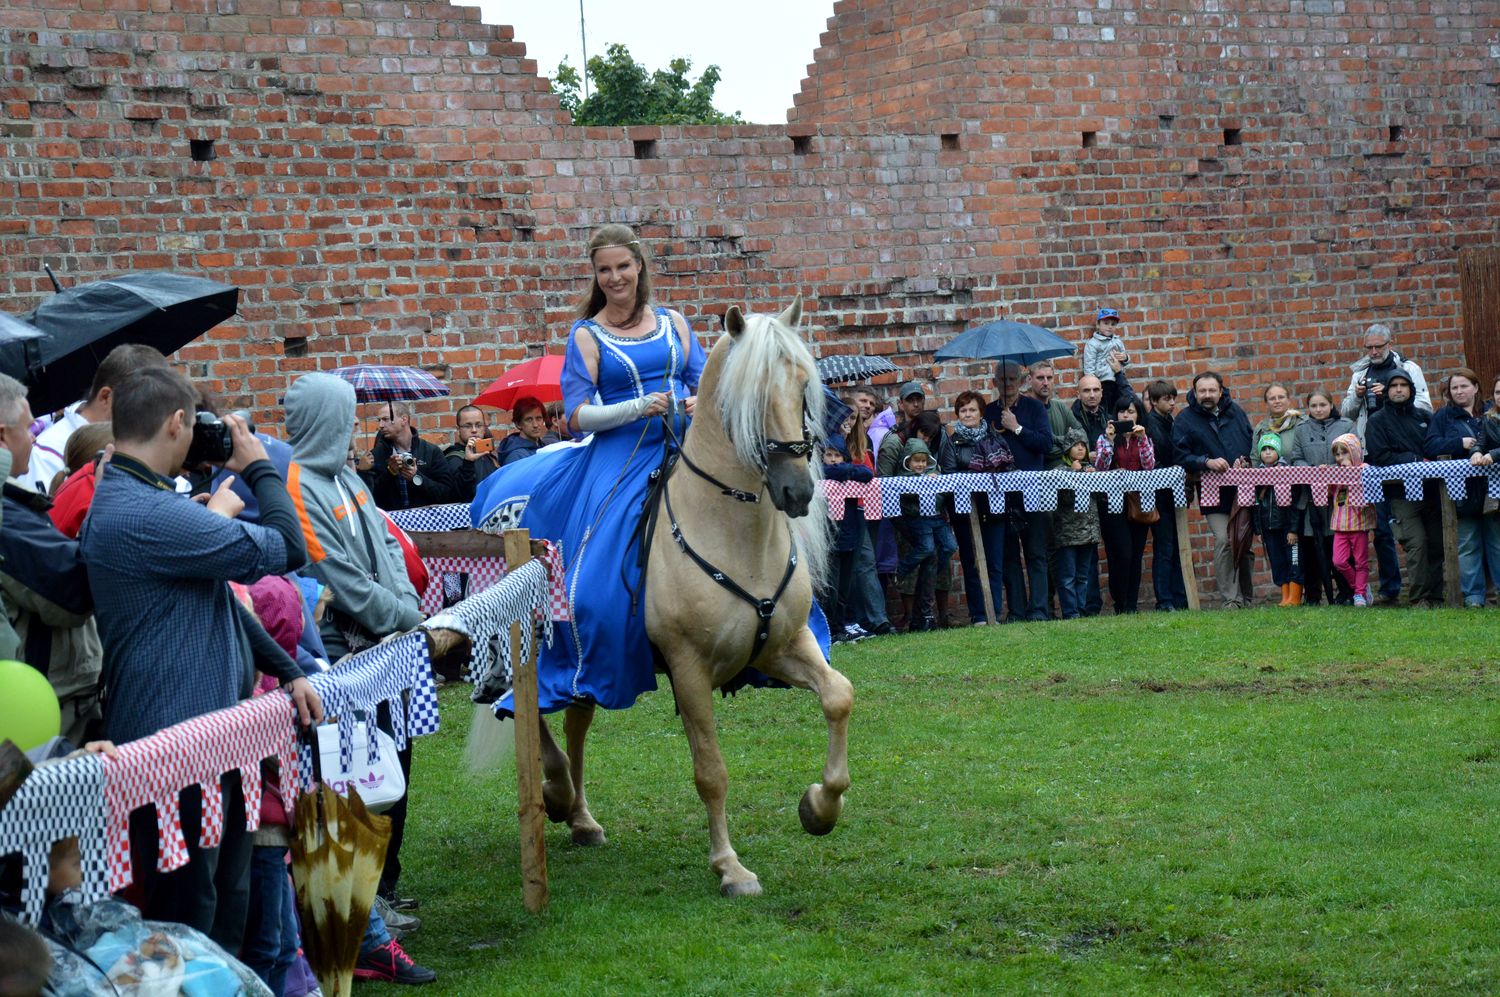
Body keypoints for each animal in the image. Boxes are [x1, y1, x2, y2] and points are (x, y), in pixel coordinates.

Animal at [534, 295, 852, 893]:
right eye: (750, 396)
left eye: (804, 386)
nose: (797, 491)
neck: (733, 532)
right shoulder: (688, 668)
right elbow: (711, 772)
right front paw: (730, 866)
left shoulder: (784, 645)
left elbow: (839, 696)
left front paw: (818, 808)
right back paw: (558, 791)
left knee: (576, 719)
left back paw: (581, 817)